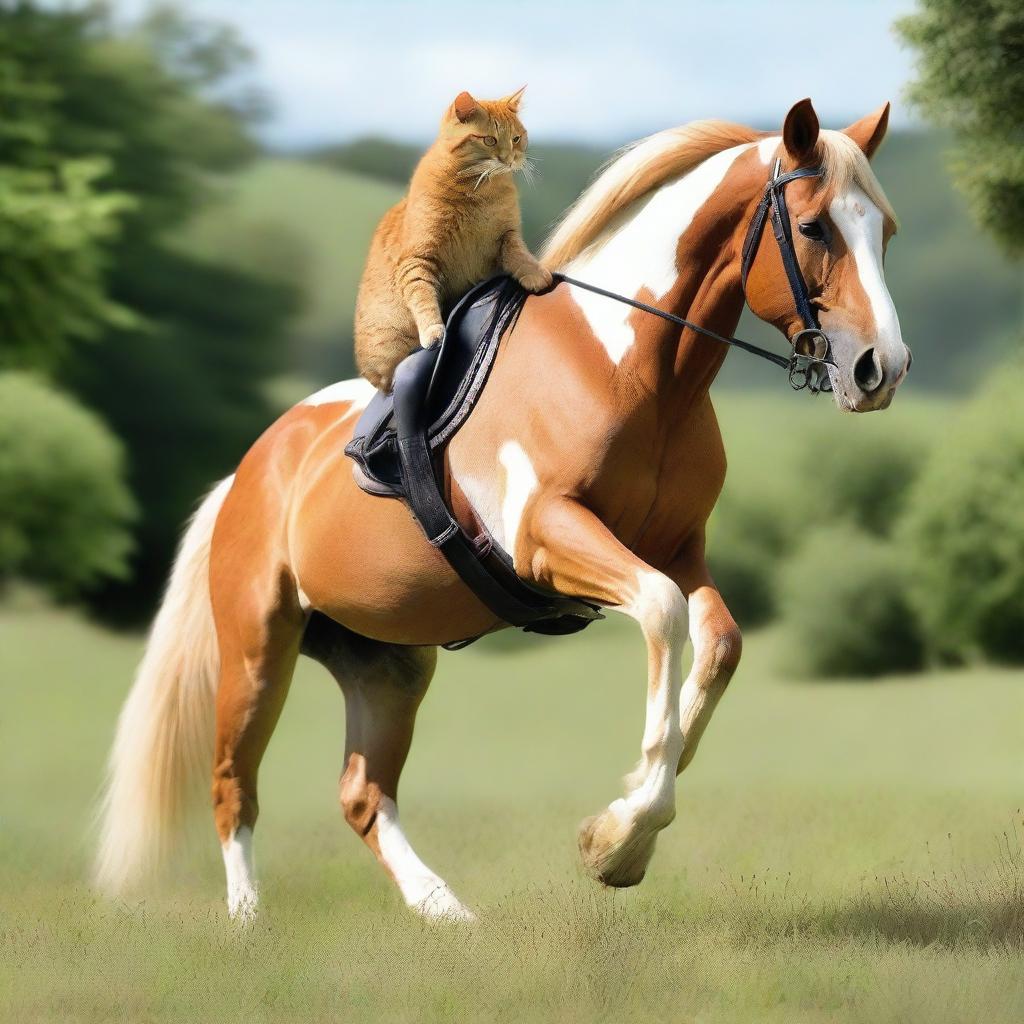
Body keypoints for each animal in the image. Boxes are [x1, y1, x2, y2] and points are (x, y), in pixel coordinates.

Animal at [354, 87, 552, 391]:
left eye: (516, 138)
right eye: (490, 140)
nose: (509, 159)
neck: (477, 187)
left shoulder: (507, 237)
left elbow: (520, 255)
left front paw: (536, 275)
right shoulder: (417, 260)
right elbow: (423, 297)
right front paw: (434, 331)